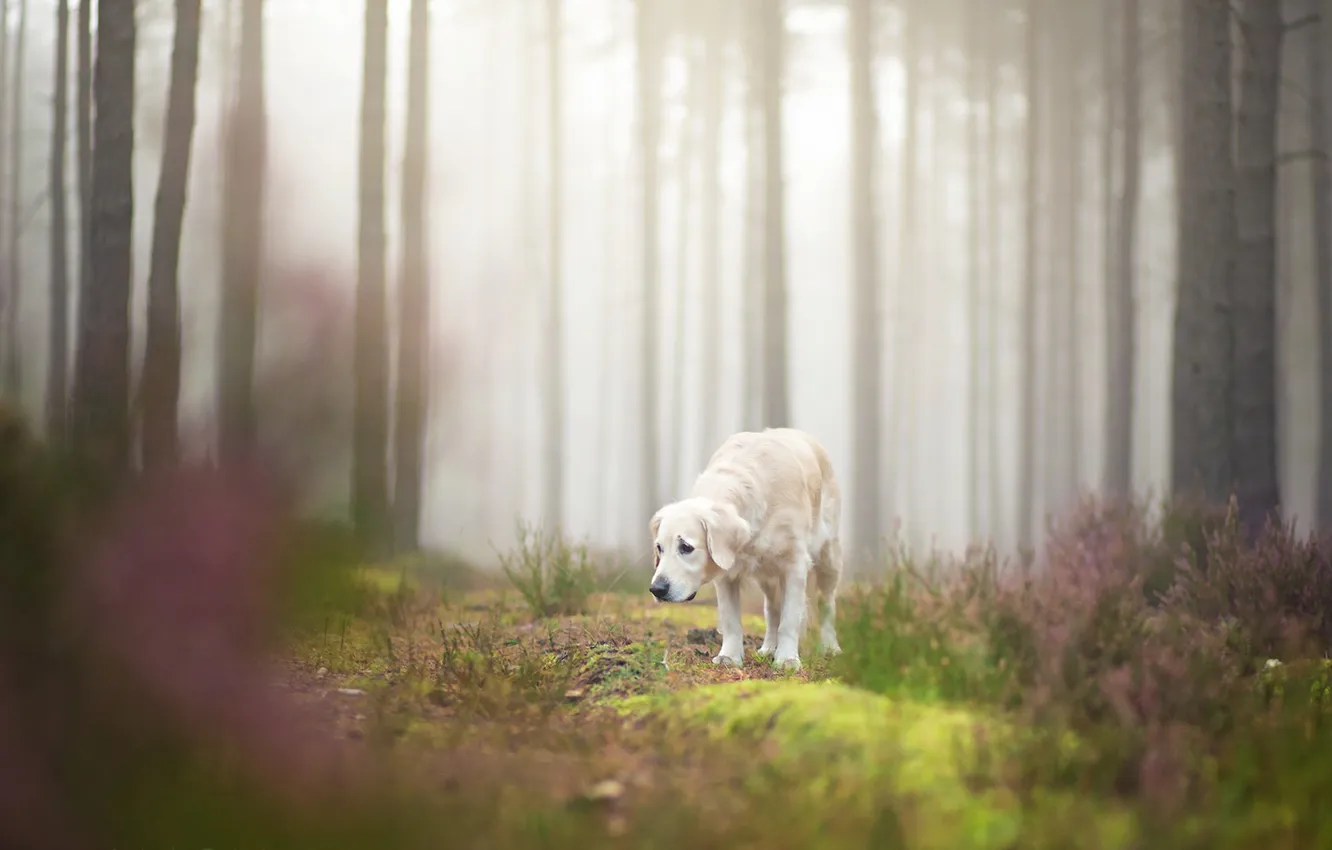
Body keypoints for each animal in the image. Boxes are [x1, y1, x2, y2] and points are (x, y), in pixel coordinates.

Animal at [650, 428, 847, 668]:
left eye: (686, 547)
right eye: (659, 548)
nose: (657, 589)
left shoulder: (795, 564)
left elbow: (790, 618)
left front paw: (787, 659)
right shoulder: (726, 575)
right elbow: (731, 620)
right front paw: (729, 656)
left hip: (829, 556)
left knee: (826, 603)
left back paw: (830, 647)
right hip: (767, 575)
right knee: (772, 609)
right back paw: (769, 647)